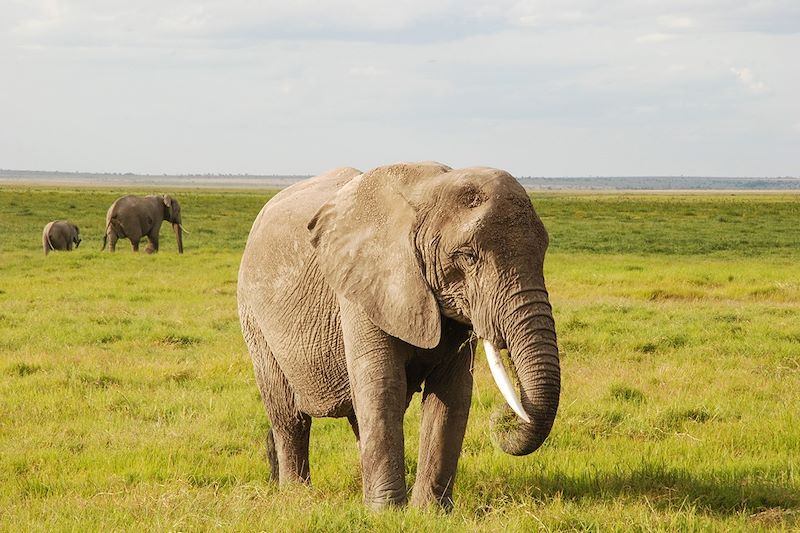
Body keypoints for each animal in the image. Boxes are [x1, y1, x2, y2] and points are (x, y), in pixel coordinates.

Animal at [239, 160, 564, 510]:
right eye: (468, 256)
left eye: (544, 251)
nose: (503, 417)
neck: (431, 189)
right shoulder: (363, 286)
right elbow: (383, 387)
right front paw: (386, 513)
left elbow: (452, 393)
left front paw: (430, 512)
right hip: (254, 319)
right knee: (289, 416)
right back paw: (296, 496)